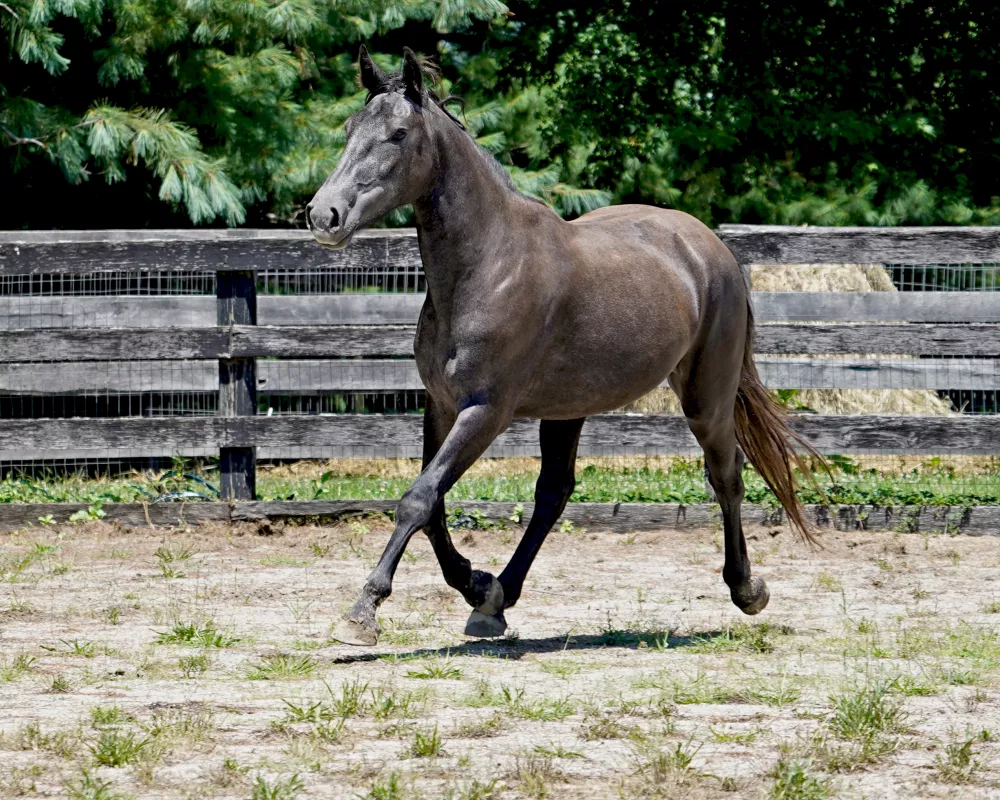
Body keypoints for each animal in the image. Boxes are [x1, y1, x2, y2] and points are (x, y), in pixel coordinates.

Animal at [308, 47, 816, 648]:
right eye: (348, 129)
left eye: (398, 134)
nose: (324, 216)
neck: (488, 266)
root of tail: (710, 247)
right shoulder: (441, 405)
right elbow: (434, 508)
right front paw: (475, 583)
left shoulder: (485, 411)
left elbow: (418, 499)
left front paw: (363, 612)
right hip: (568, 408)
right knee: (554, 492)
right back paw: (497, 600)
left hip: (706, 398)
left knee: (726, 475)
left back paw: (747, 590)